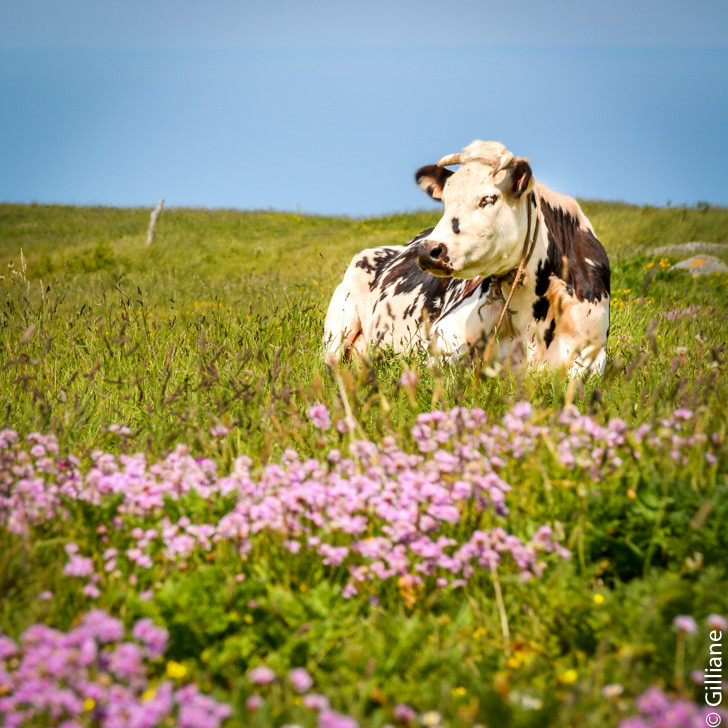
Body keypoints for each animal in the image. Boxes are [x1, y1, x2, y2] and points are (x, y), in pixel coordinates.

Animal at [322, 141, 608, 376]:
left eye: (489, 198)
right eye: (445, 201)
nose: (428, 250)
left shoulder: (594, 351)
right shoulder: (444, 332)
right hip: (338, 321)